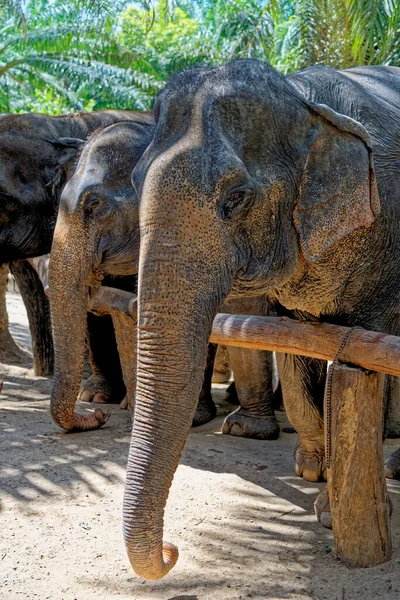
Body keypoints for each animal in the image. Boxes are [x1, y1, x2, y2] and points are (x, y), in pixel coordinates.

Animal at [101, 62, 400, 580]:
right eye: (136, 183)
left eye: (236, 197)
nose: (173, 550)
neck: (303, 99)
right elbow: (296, 359)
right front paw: (310, 470)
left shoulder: (386, 241)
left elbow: (365, 358)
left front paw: (327, 511)